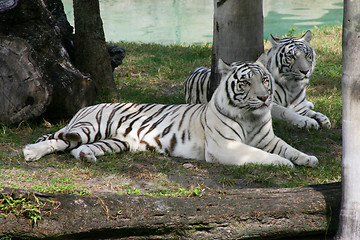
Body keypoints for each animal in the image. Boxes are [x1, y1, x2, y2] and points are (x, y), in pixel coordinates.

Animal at [23, 59, 318, 168]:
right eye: (245, 83)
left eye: (265, 80)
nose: (264, 97)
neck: (250, 117)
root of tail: (87, 105)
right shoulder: (226, 147)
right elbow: (260, 155)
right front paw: (284, 164)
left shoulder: (268, 138)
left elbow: (288, 147)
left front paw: (308, 159)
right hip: (88, 127)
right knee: (59, 141)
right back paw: (31, 153)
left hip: (116, 141)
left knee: (76, 148)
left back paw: (86, 156)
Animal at [184, 31, 330, 131]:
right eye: (291, 57)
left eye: (307, 55)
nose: (305, 71)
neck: (292, 86)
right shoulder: (270, 104)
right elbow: (287, 112)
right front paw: (307, 121)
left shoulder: (299, 106)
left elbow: (313, 112)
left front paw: (324, 120)